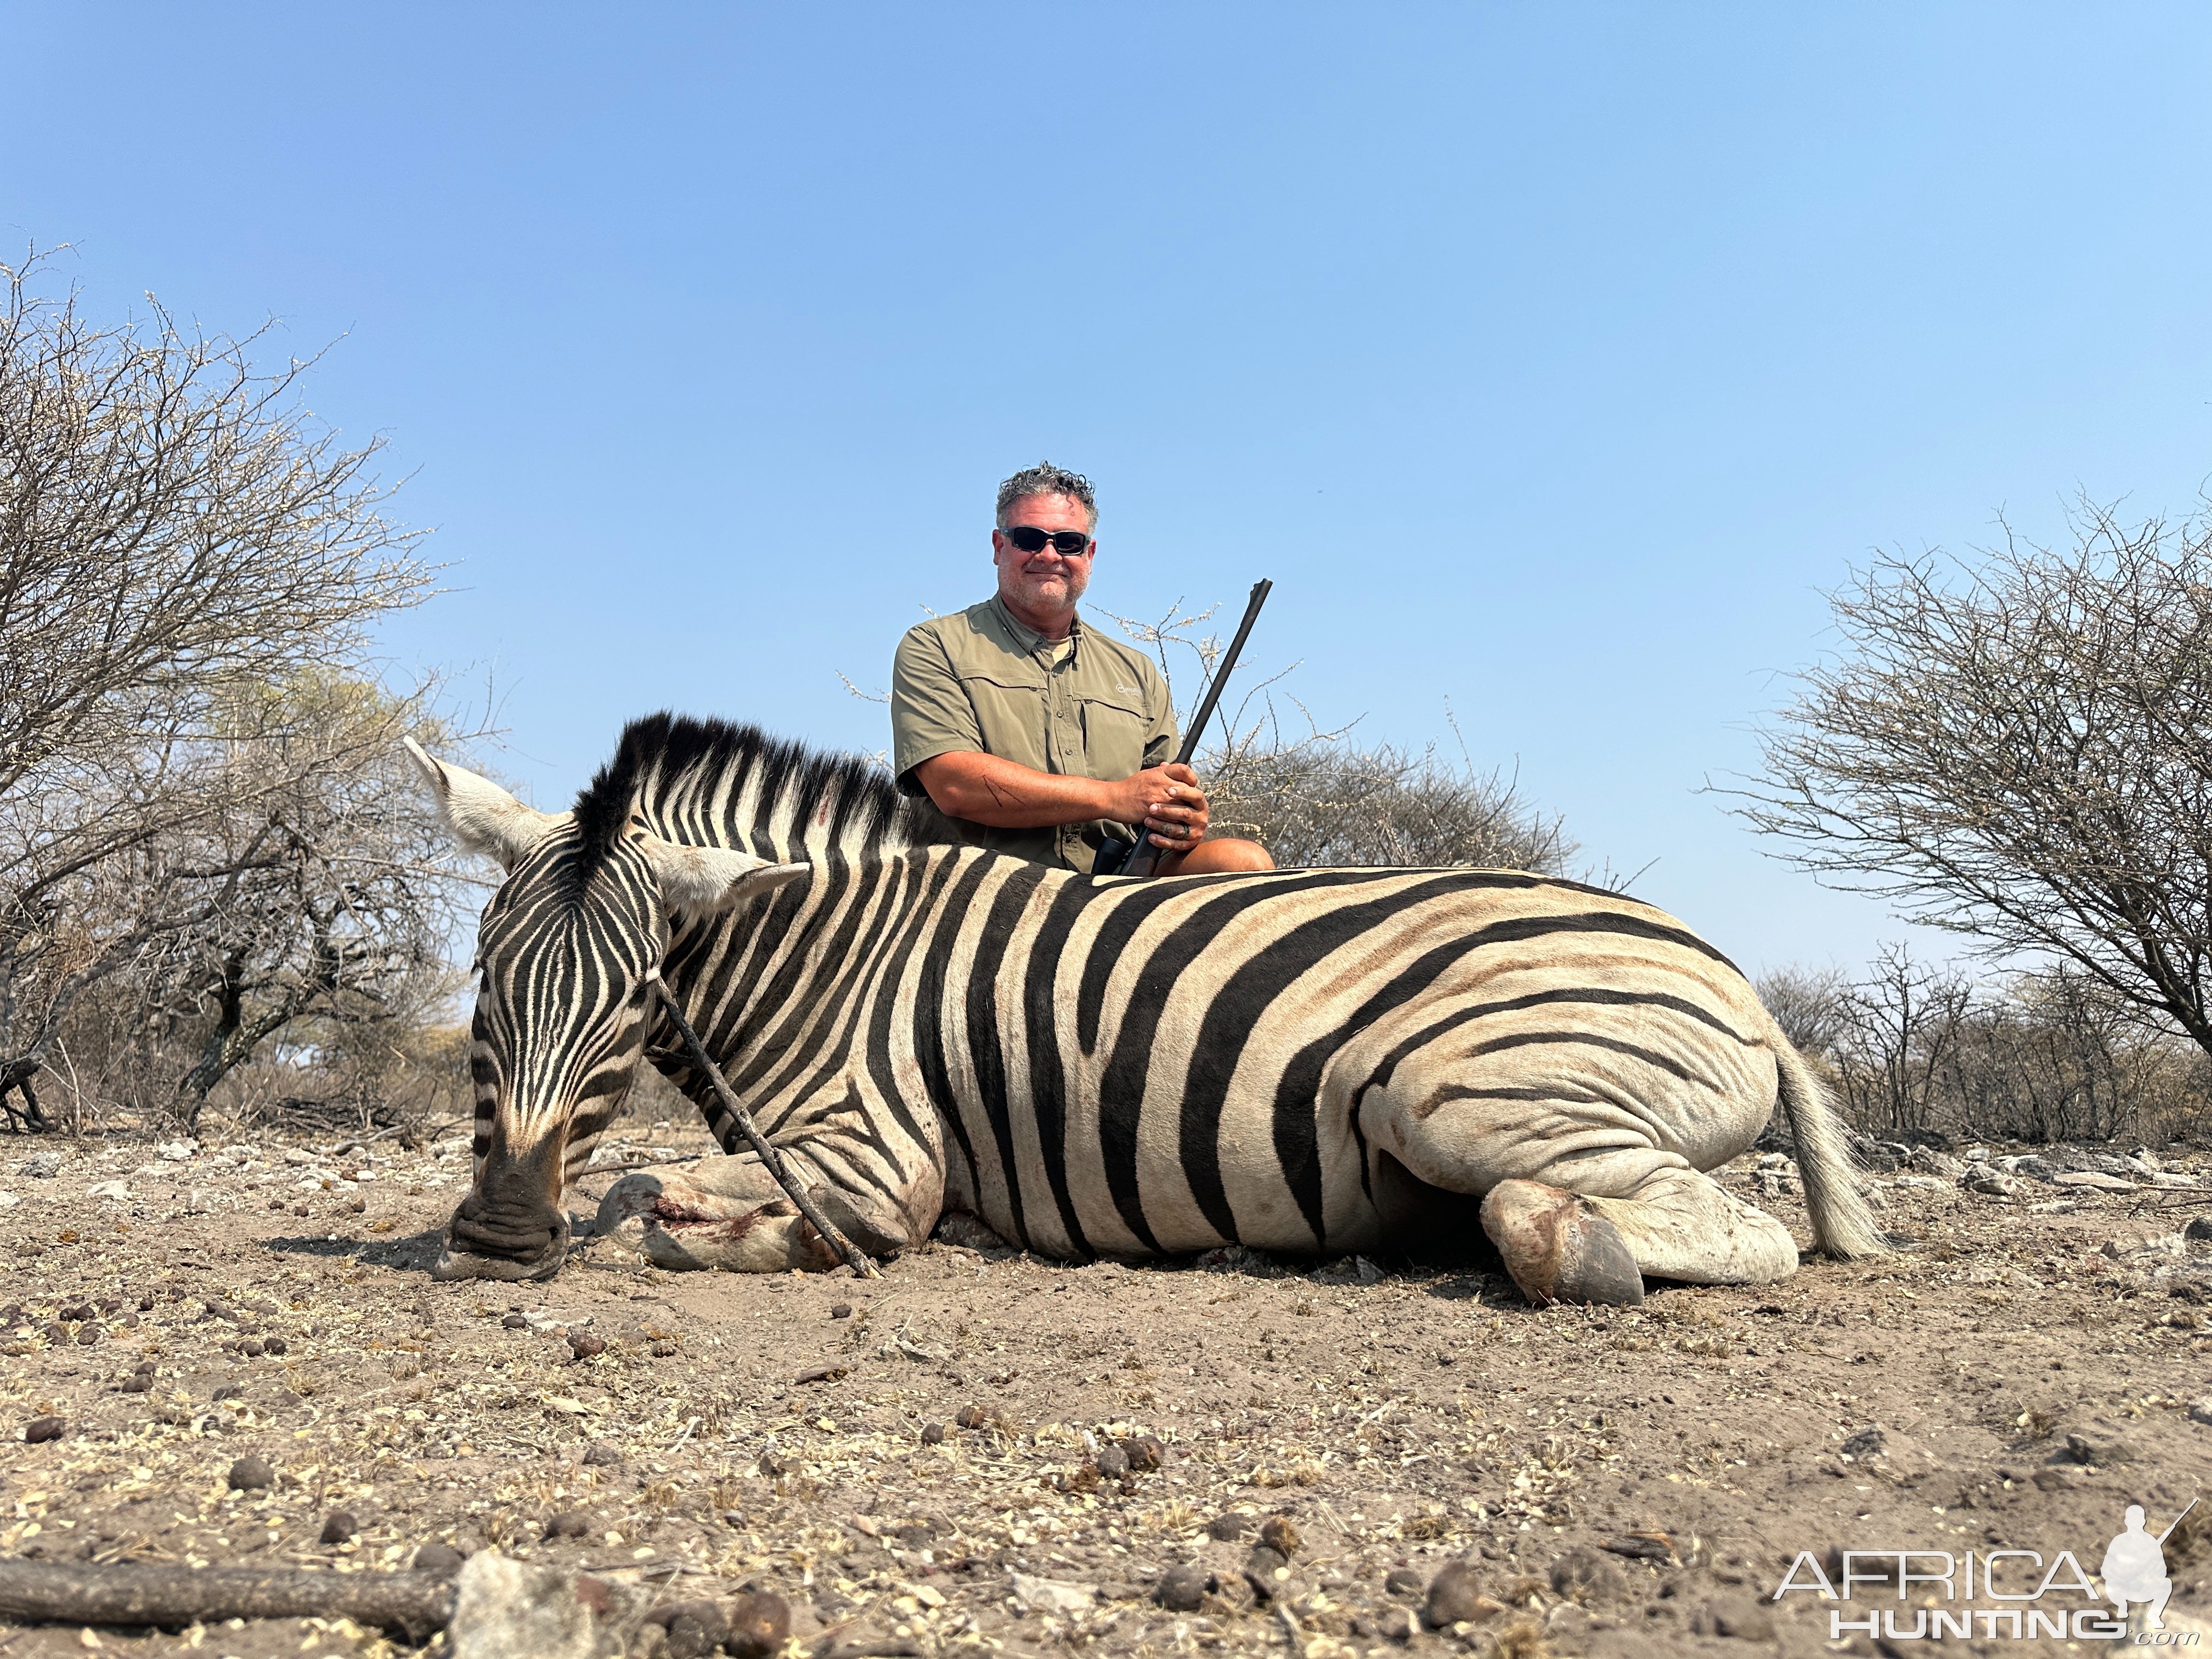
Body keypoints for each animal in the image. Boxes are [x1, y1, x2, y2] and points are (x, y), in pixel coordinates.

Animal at [402, 716, 1884, 1309]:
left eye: (631, 998)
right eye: (483, 977)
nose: (499, 1233)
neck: (819, 951)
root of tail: (1740, 984)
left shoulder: (878, 1155)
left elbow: (660, 1206)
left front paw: (782, 1241)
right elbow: (633, 1182)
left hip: (1458, 1091)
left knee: (1712, 1227)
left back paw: (1569, 1248)